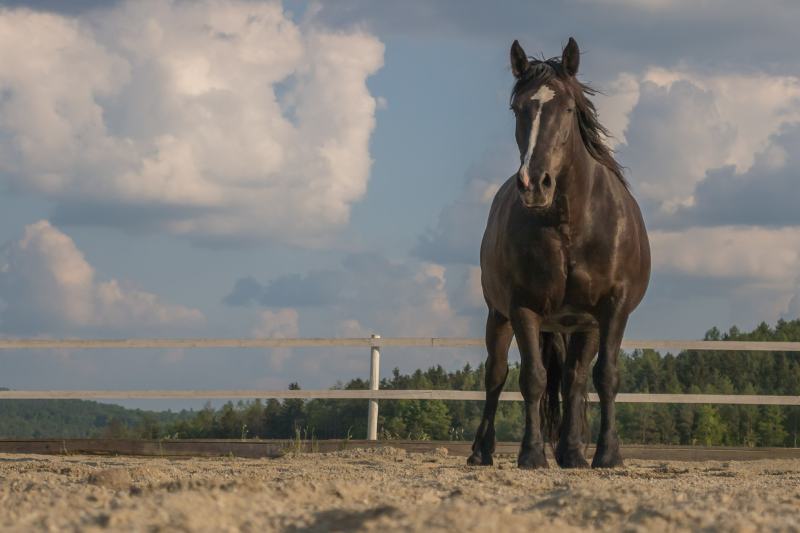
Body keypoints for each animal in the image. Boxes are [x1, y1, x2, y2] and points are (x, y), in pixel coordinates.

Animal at [467, 37, 651, 469]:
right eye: (518, 109)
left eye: (568, 108)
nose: (535, 183)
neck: (571, 225)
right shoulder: (522, 308)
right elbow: (531, 378)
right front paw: (532, 453)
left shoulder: (612, 310)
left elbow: (604, 377)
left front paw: (607, 454)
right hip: (498, 316)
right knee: (495, 375)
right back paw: (481, 450)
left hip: (581, 325)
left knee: (574, 379)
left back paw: (572, 452)